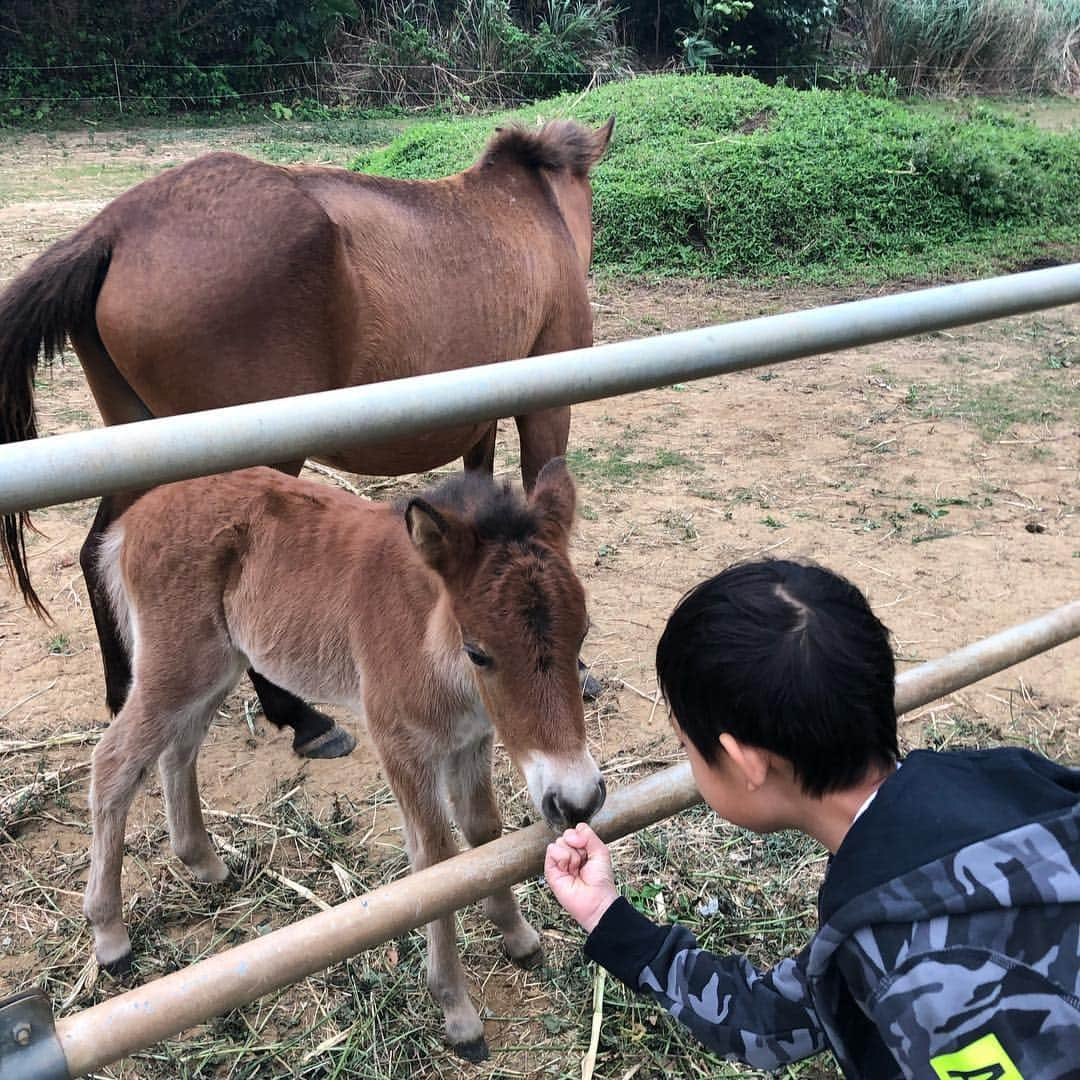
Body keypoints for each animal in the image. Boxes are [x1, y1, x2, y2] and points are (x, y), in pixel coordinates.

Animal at [0, 116, 613, 760]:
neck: (526, 210)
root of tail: (117, 228)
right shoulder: (545, 410)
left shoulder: (480, 420)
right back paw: (302, 719)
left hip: (140, 448)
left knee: (99, 549)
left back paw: (126, 694)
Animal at [82, 460, 609, 1058]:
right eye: (478, 652)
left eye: (582, 633)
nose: (578, 799)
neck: (424, 630)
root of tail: (133, 519)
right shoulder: (401, 746)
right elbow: (437, 863)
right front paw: (457, 1012)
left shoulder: (470, 740)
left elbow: (483, 835)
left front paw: (517, 937)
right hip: (176, 669)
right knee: (114, 763)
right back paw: (110, 936)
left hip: (216, 666)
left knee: (179, 747)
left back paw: (203, 862)